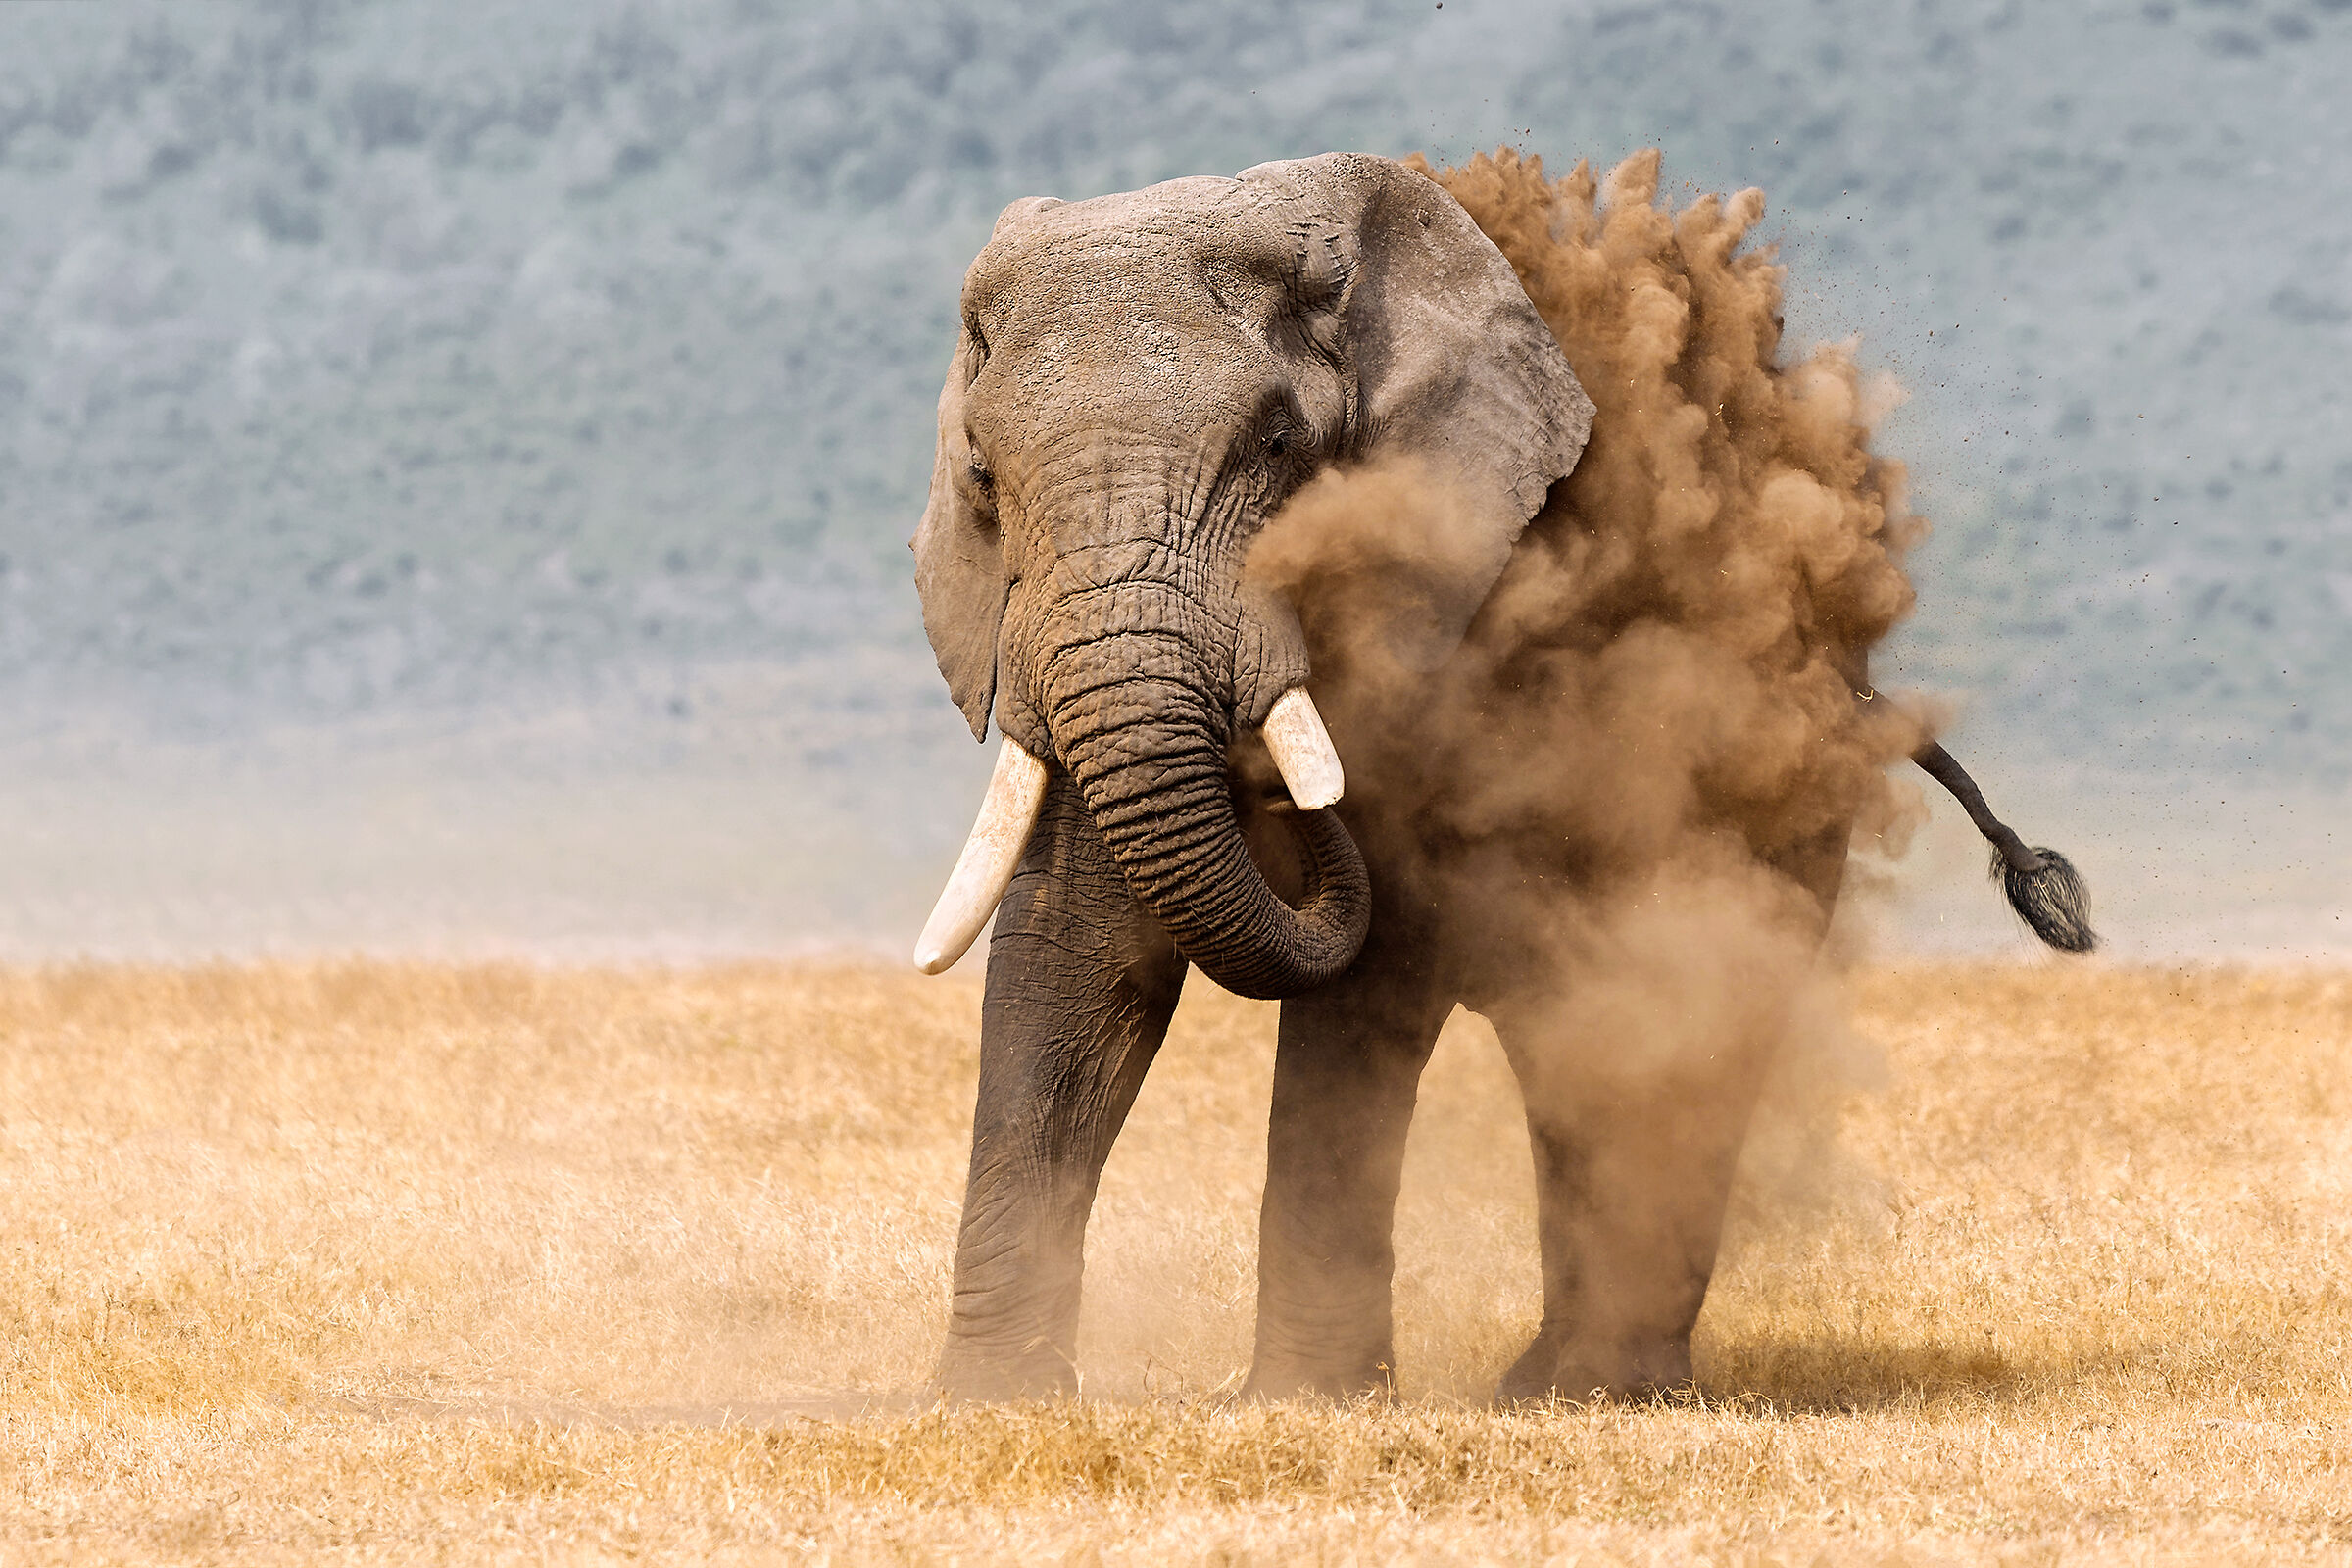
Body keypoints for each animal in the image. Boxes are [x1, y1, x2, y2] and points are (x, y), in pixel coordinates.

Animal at [907, 149, 2092, 1404]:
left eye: (1276, 449)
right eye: (981, 474)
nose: (1278, 782)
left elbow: (1369, 974)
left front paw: (1306, 1400)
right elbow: (1078, 952)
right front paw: (990, 1399)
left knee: (1678, 1014)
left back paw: (1605, 1386)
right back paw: (1551, 1383)